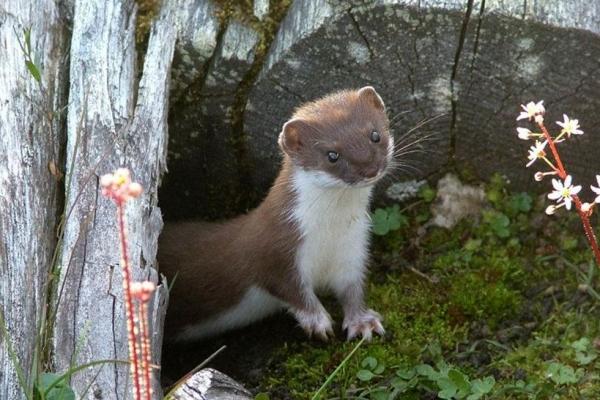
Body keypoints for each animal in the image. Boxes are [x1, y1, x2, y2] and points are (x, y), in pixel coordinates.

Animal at [159, 86, 392, 342]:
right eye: (332, 155)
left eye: (375, 134)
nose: (370, 168)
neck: (330, 232)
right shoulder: (276, 247)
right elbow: (287, 287)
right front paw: (317, 321)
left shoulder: (353, 249)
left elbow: (352, 289)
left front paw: (362, 322)